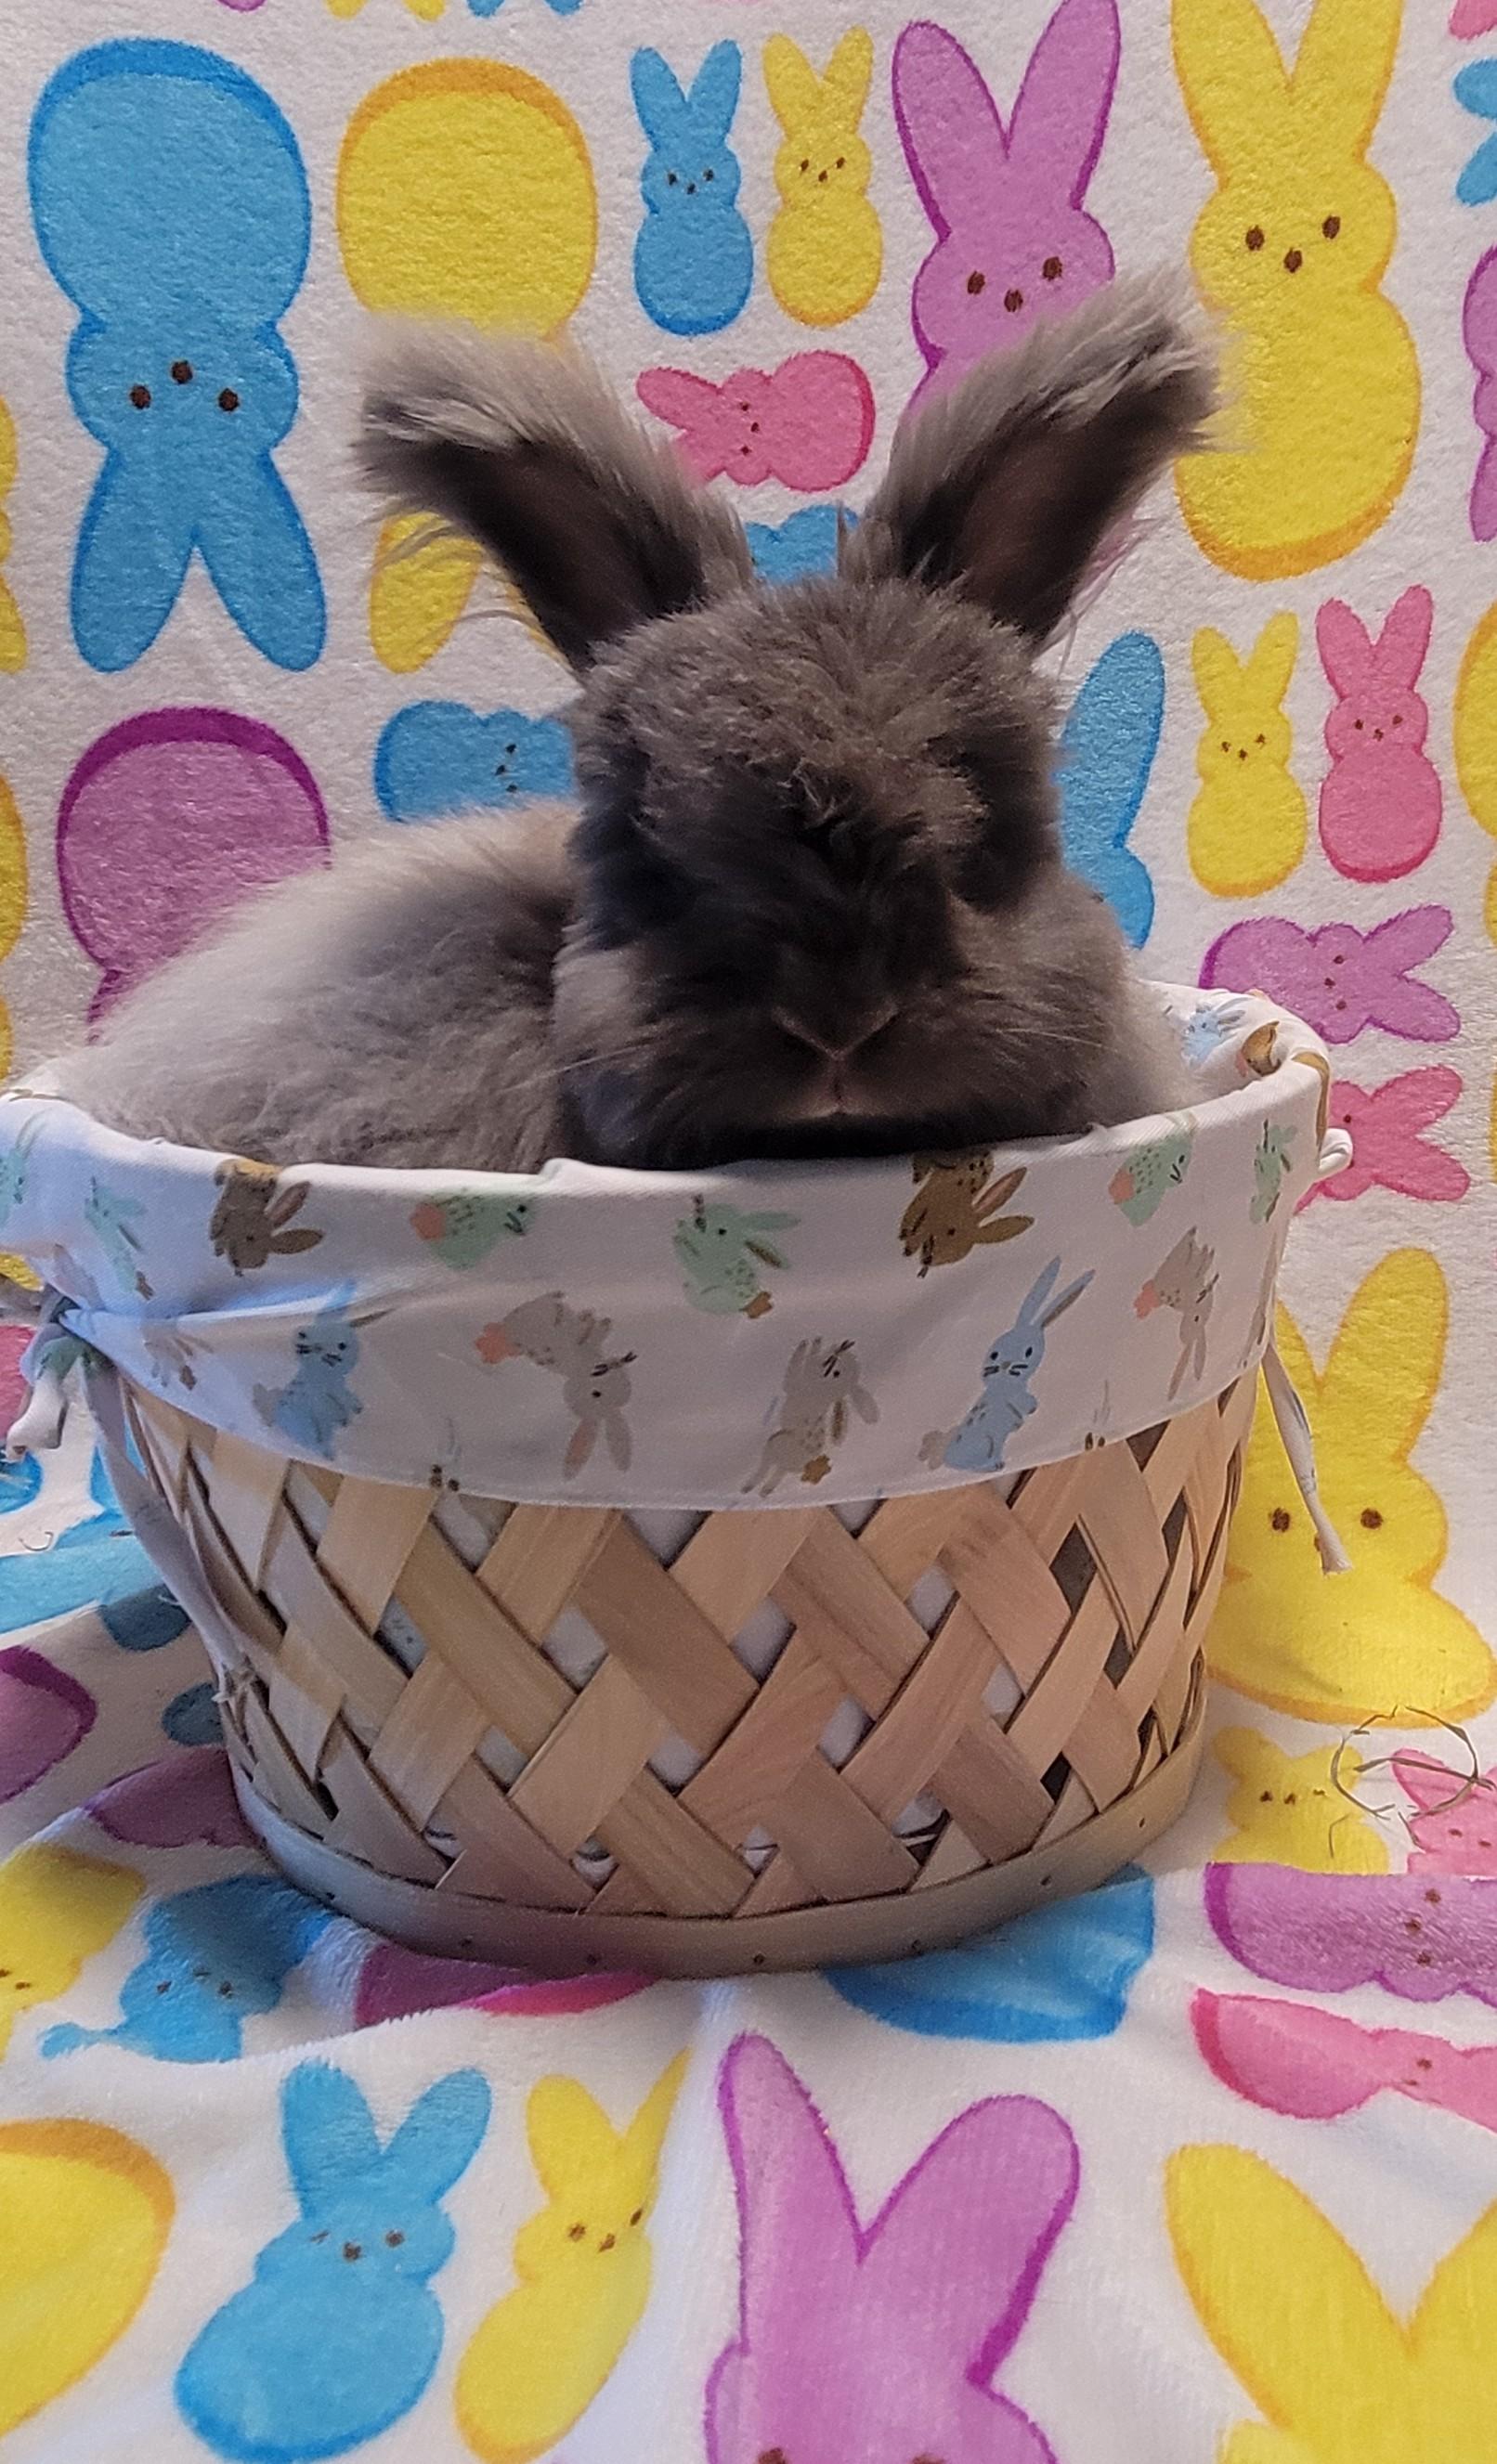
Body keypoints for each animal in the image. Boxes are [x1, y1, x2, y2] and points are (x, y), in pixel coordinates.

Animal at [674, 1197, 798, 1316]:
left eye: (722, 1231)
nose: (699, 1220)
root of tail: (750, 1303)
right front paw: (681, 1228)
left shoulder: (706, 1260)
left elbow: (693, 1256)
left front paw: (682, 1234)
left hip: (716, 1294)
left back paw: (689, 1287)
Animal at [746, 1336, 878, 1496]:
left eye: (837, 1373)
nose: (833, 1356)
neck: (824, 1387)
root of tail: (805, 1462)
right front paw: (815, 1343)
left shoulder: (796, 1382)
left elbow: (796, 1366)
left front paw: (809, 1344)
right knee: (775, 1470)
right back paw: (758, 1489)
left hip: (776, 1445)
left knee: (772, 1469)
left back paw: (756, 1488)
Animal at [934, 1258, 1092, 1474]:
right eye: (994, 1354)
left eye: (1028, 1351)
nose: (1005, 1364)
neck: (1004, 1385)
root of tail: (949, 1461)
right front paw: (1032, 1408)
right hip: (987, 1443)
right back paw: (995, 1465)